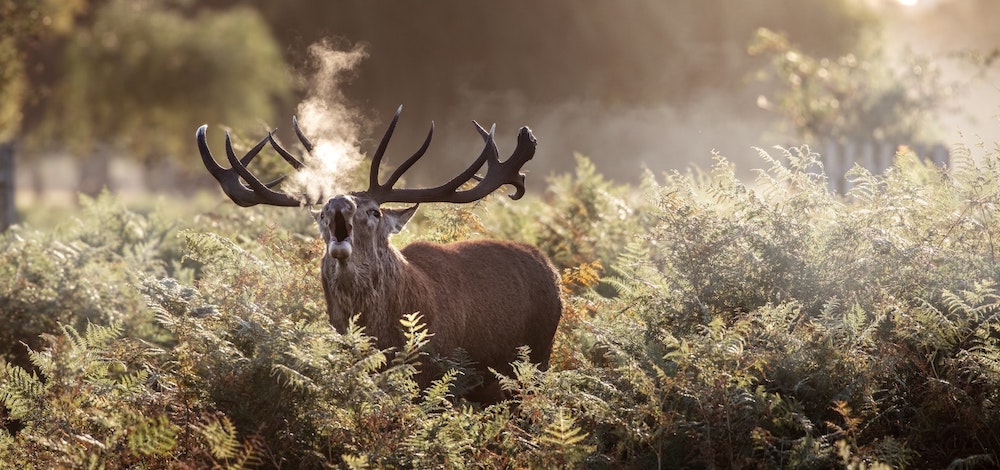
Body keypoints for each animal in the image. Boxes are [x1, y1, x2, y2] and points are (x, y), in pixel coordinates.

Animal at [195, 106, 562, 402]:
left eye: (373, 211)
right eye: (321, 214)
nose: (338, 202)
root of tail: (550, 267)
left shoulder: (438, 377)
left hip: (536, 362)